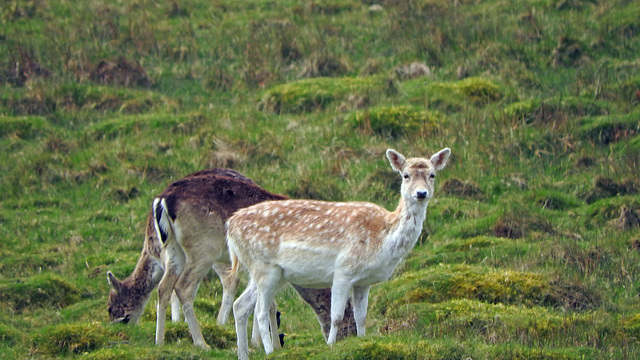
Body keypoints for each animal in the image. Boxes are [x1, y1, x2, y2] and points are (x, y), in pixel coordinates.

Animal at [105, 168, 356, 348]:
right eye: (348, 313)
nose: (349, 336)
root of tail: (163, 200)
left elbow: (268, 302)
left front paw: (267, 344)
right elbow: (264, 301)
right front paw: (266, 344)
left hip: (174, 251)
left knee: (164, 287)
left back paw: (160, 342)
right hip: (204, 248)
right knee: (183, 287)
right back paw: (202, 343)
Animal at [228, 148, 452, 358]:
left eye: (432, 175)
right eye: (406, 175)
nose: (421, 193)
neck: (382, 238)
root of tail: (230, 225)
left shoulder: (363, 281)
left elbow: (361, 316)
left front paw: (362, 341)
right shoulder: (344, 270)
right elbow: (336, 316)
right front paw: (330, 346)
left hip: (271, 272)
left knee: (240, 306)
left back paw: (243, 354)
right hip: (264, 267)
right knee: (260, 312)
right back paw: (269, 351)